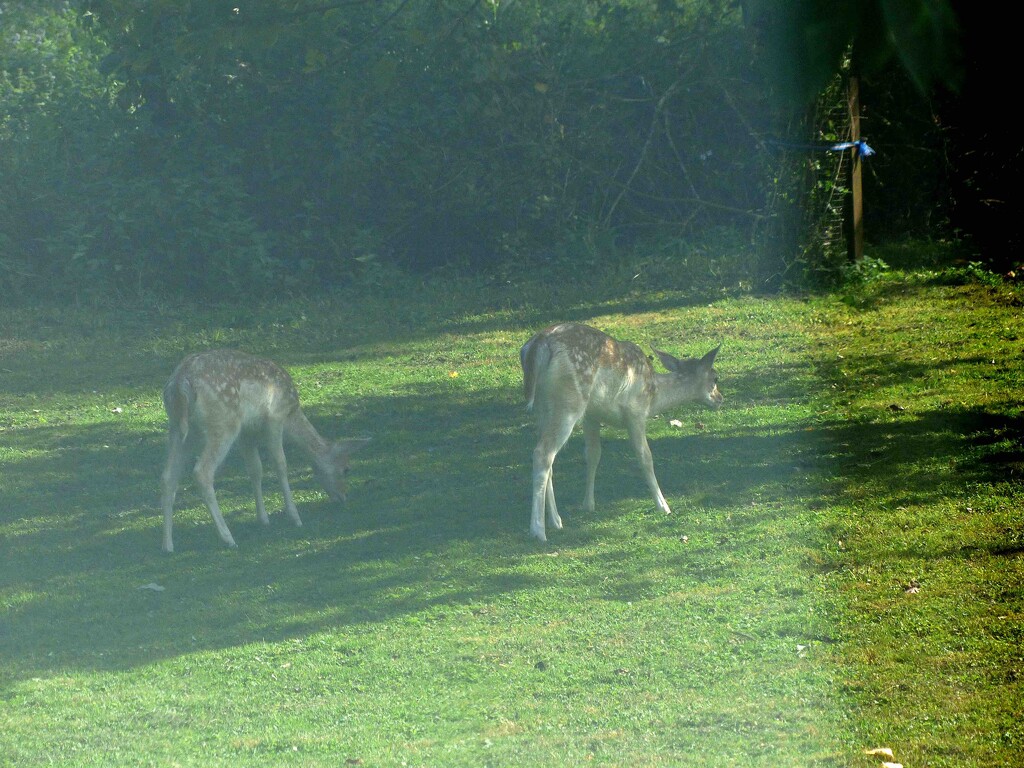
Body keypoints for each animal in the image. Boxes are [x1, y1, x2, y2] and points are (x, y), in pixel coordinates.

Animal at [157, 348, 370, 552]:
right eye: (346, 469)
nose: (343, 496)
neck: (292, 416)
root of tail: (179, 383)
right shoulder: (275, 418)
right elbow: (280, 464)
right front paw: (295, 517)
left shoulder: (246, 435)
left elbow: (255, 470)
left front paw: (263, 519)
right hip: (223, 424)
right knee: (202, 472)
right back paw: (228, 538)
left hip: (179, 429)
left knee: (168, 476)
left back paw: (168, 545)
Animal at [520, 321, 720, 544]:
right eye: (715, 378)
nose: (720, 399)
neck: (654, 395)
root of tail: (537, 346)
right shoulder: (636, 412)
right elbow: (645, 457)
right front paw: (663, 506)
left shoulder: (592, 416)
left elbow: (593, 455)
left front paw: (588, 504)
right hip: (568, 403)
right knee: (542, 454)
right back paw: (538, 531)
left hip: (543, 409)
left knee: (549, 459)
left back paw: (556, 521)